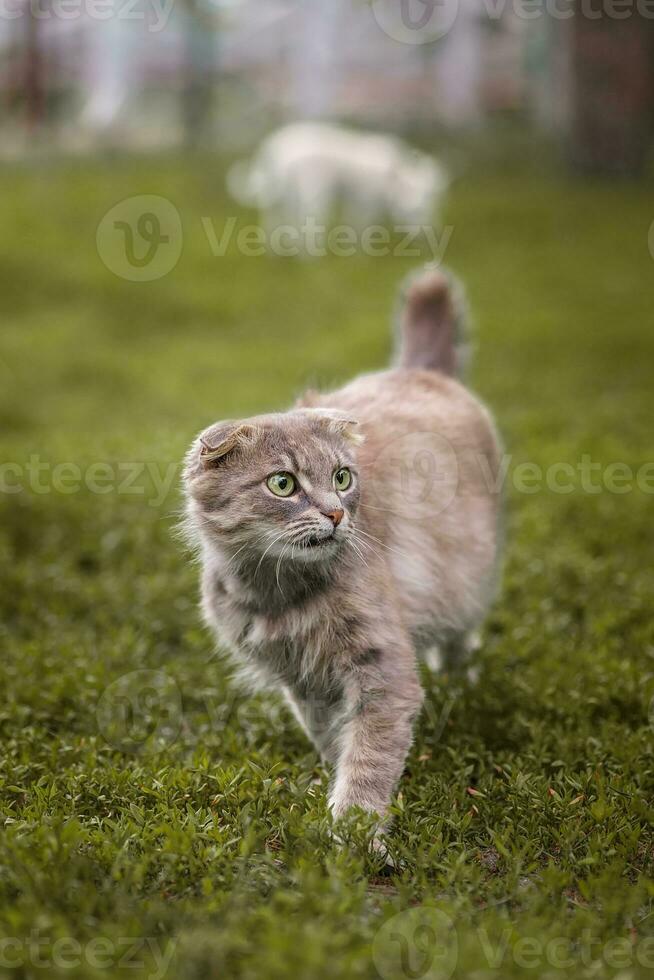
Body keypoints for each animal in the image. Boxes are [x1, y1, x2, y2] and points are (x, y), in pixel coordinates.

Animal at [227, 122, 452, 237]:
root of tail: (273, 149)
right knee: (306, 220)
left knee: (277, 219)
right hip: (312, 191)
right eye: (417, 210)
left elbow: (352, 220)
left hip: (283, 195)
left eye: (435, 206)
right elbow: (363, 223)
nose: (431, 232)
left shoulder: (354, 198)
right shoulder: (365, 198)